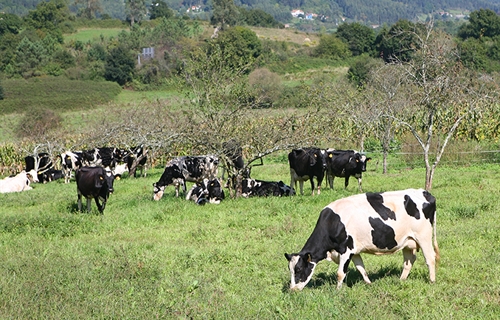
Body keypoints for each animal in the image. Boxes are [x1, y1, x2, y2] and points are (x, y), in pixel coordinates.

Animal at [284, 189, 440, 292]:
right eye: (290, 270)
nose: (292, 289)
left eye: (298, 270)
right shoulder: (354, 250)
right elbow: (361, 268)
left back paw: (432, 281)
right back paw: (401, 280)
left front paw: (337, 291)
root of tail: (425, 192)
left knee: (430, 258)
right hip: (408, 241)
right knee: (409, 261)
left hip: (424, 236)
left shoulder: (346, 250)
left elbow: (340, 273)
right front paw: (369, 283)